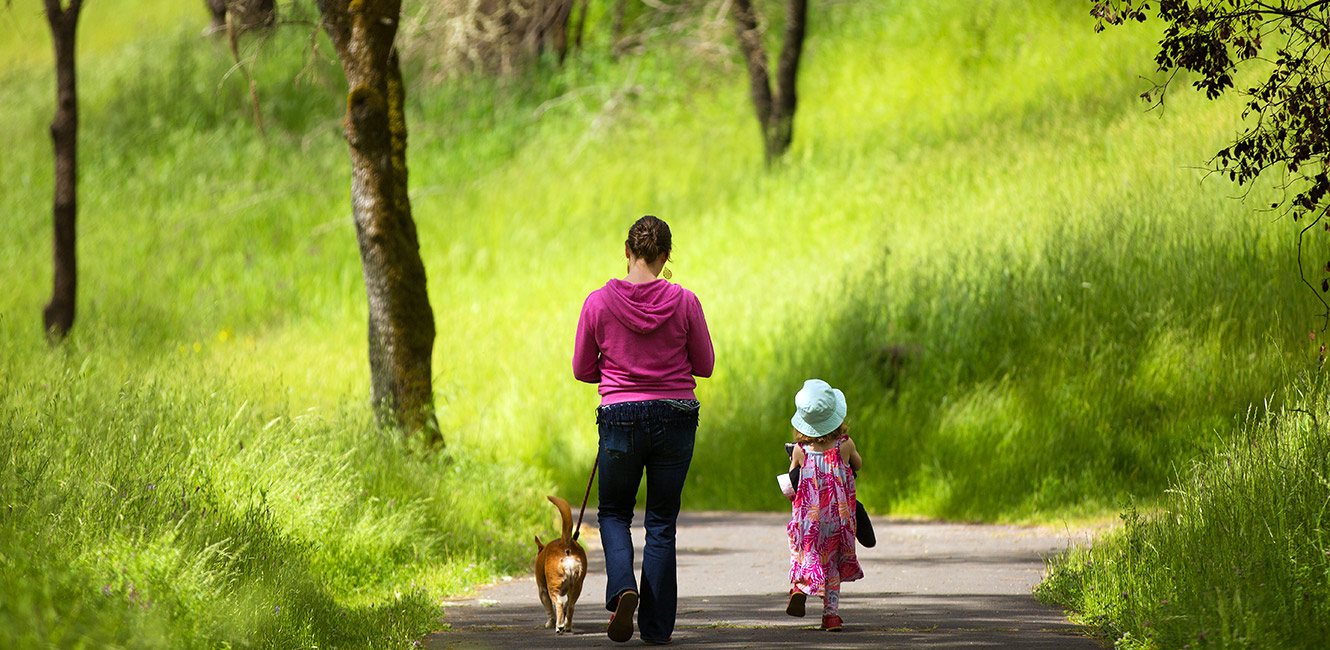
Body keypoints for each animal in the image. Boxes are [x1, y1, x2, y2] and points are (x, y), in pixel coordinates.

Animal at [534, 494, 587, 630]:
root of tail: (565, 543)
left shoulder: (542, 590)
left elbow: (549, 609)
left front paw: (550, 623)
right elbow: (567, 605)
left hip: (553, 587)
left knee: (558, 603)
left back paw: (559, 626)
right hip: (577, 586)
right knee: (571, 606)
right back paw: (567, 626)